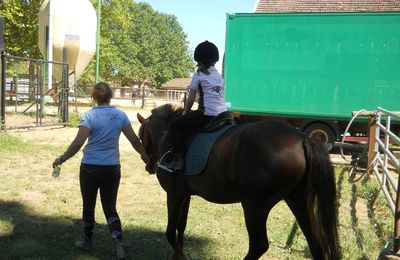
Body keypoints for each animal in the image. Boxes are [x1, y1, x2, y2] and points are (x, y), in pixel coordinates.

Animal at [136, 104, 340, 260]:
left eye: (140, 135)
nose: (149, 166)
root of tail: (302, 139)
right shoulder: (185, 195)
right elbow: (181, 226)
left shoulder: (174, 195)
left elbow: (170, 231)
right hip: (297, 201)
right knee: (314, 241)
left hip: (255, 207)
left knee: (259, 245)